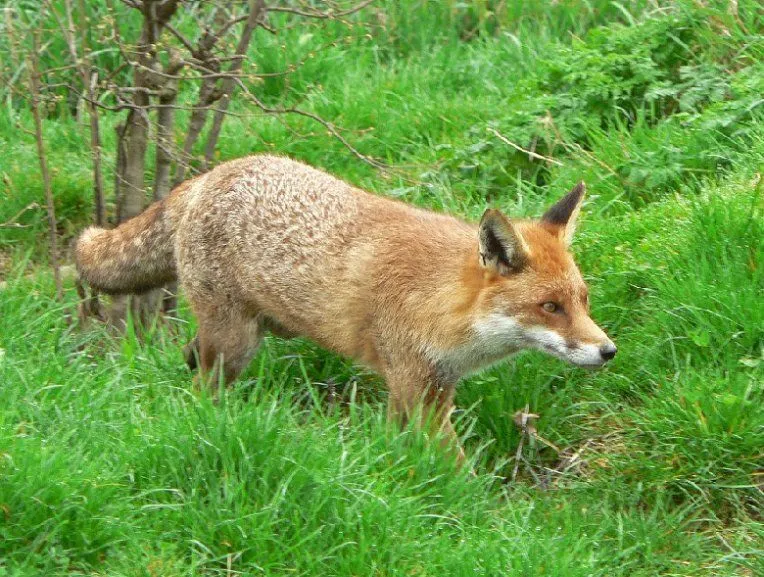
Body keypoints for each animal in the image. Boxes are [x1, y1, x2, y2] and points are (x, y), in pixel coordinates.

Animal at [76, 155, 616, 456]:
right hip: (237, 344)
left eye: (583, 301)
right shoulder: (418, 387)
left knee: (189, 357)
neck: (445, 306)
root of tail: (210, 174)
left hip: (246, 332)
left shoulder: (420, 388)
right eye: (550, 307)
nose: (608, 351)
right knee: (203, 384)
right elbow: (455, 470)